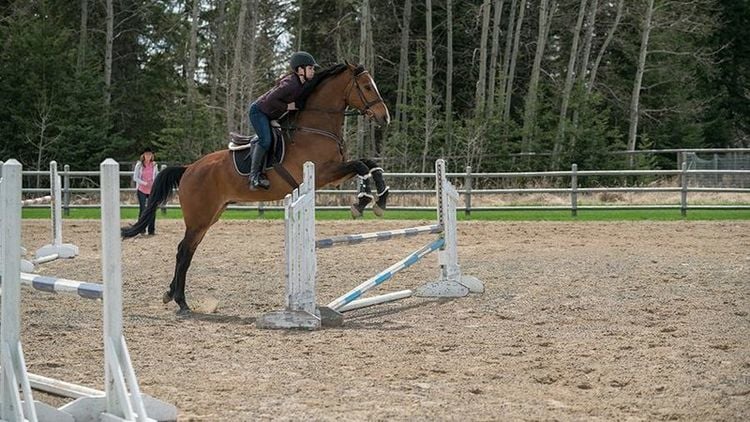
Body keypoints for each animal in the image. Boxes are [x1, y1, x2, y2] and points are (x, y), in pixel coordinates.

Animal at [122, 62, 391, 313]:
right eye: (367, 86)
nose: (384, 117)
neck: (316, 126)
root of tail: (189, 168)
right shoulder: (324, 173)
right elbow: (360, 165)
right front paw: (362, 201)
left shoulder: (334, 175)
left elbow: (369, 164)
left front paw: (380, 200)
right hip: (199, 218)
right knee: (184, 252)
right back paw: (181, 301)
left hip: (210, 216)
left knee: (186, 250)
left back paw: (170, 294)